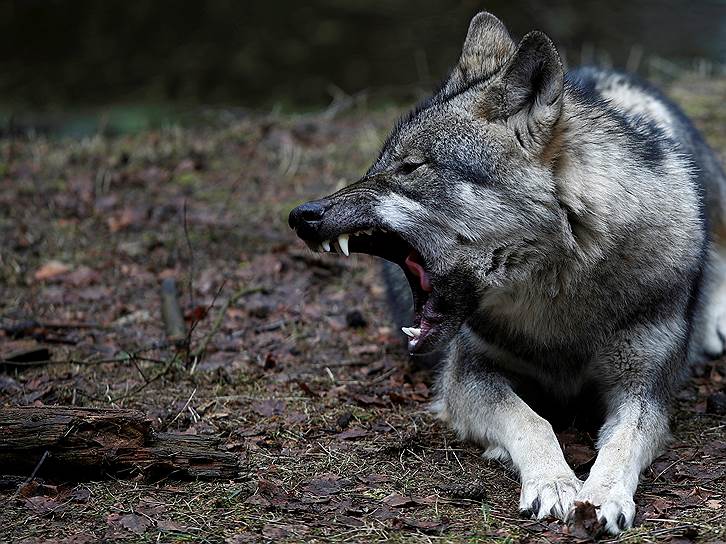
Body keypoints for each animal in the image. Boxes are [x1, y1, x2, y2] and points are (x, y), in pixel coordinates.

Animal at [288, 10, 724, 532]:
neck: (560, 301)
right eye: (377, 165)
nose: (302, 215)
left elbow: (622, 441)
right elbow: (530, 420)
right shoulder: (469, 375)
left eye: (410, 167)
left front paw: (602, 495)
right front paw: (554, 482)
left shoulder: (645, 388)